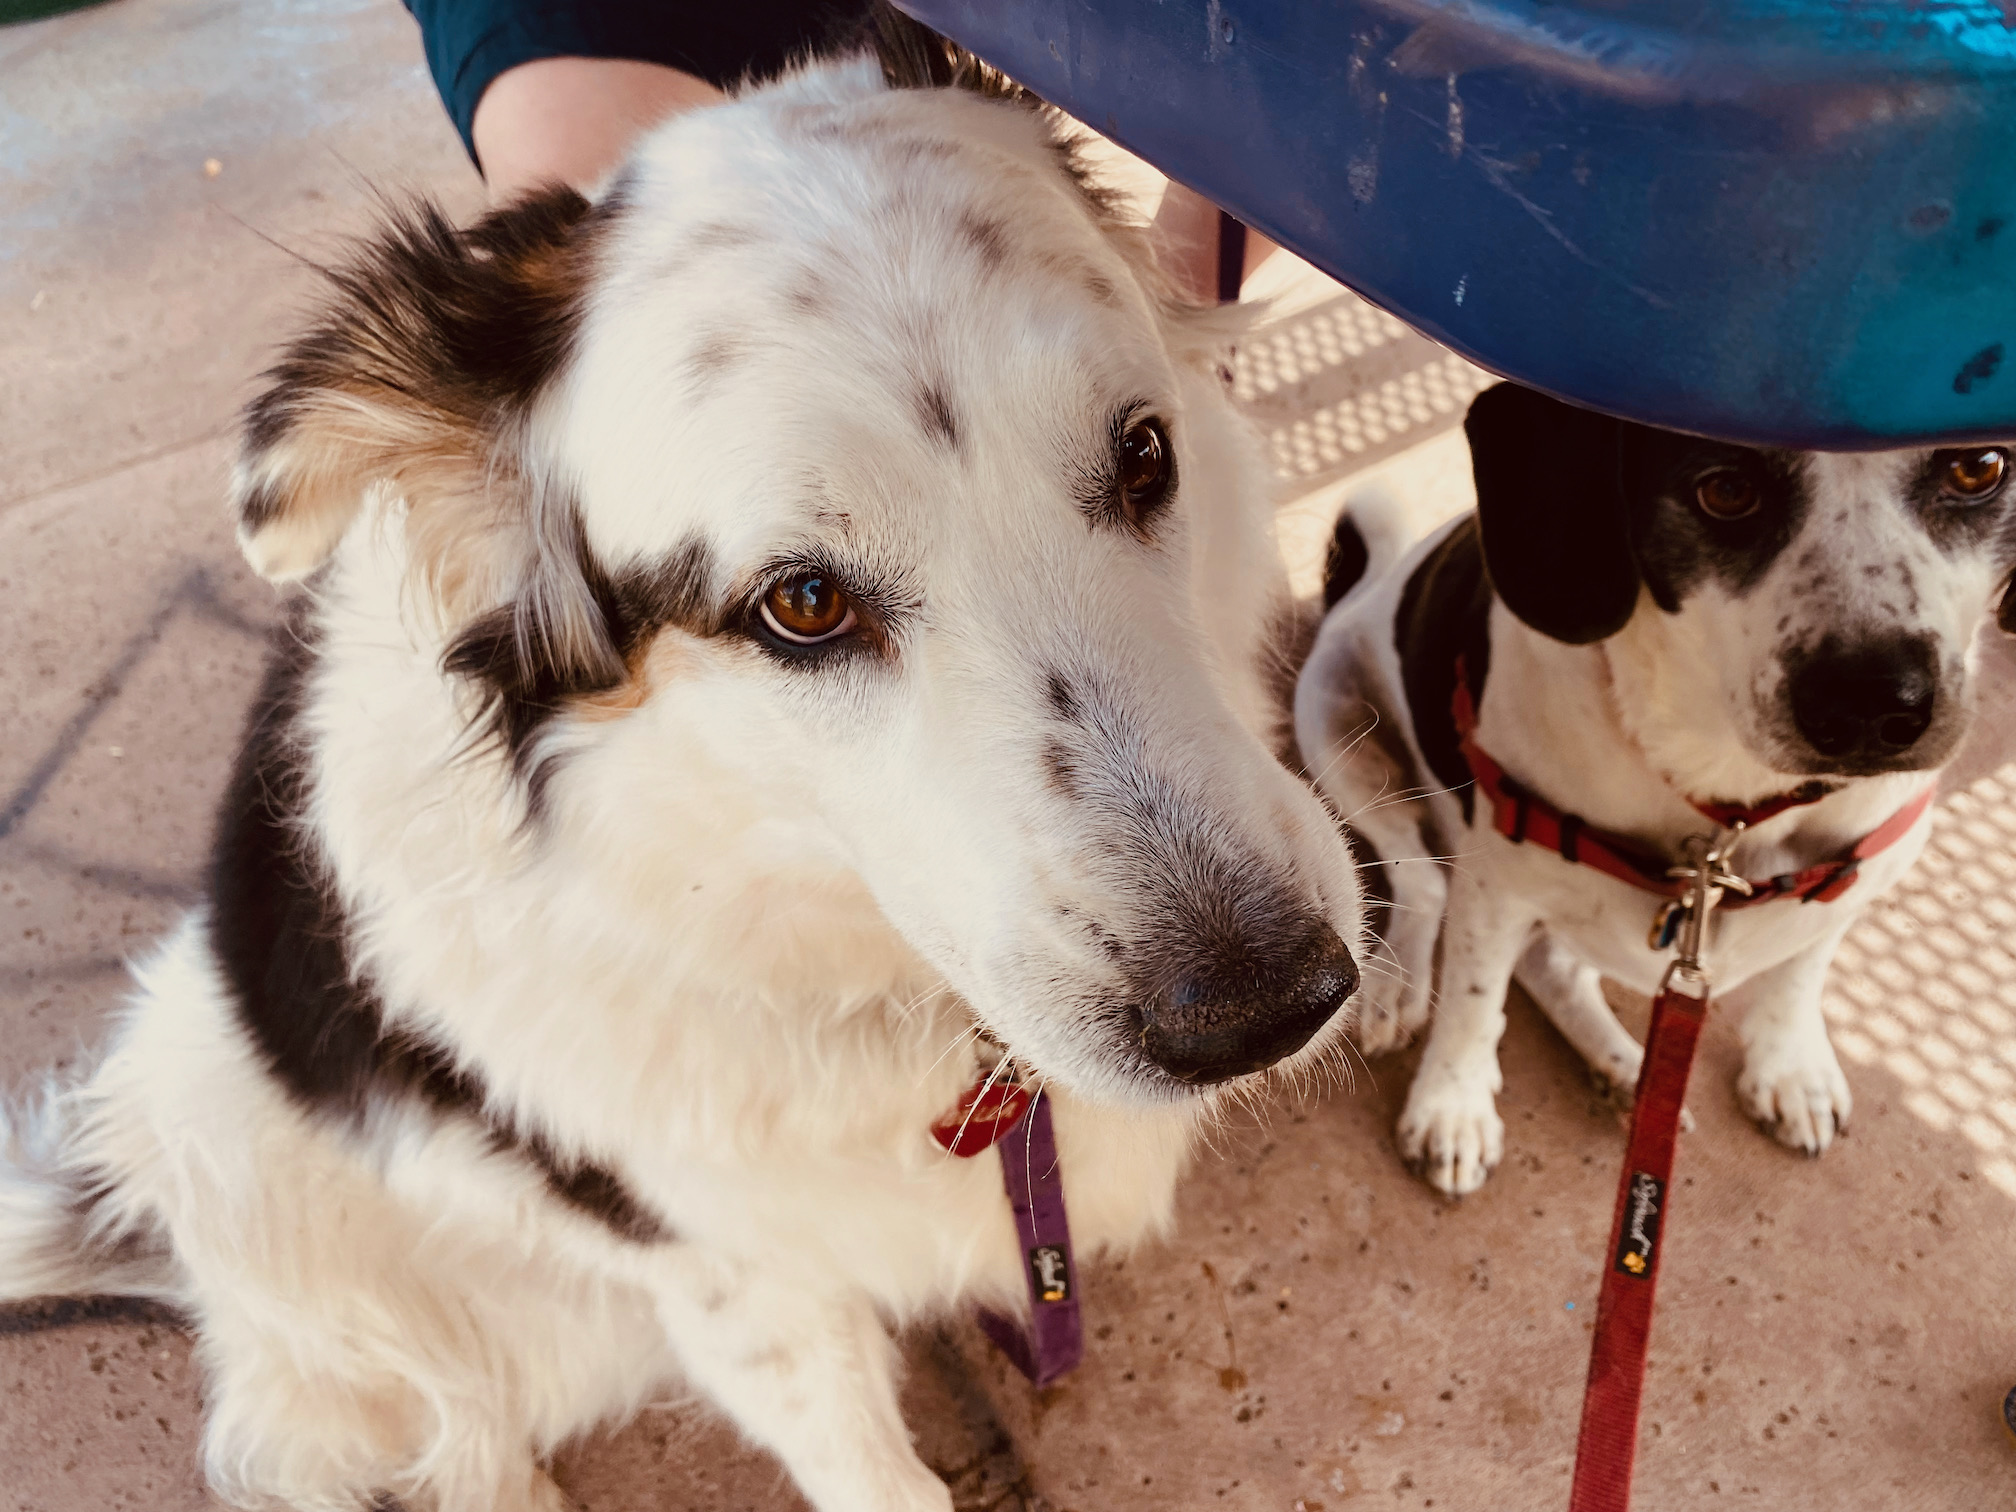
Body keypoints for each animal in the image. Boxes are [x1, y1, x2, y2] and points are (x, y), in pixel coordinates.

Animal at [1296, 380, 2014, 1197]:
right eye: (1726, 489)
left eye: (1980, 467)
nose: (1871, 706)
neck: (1733, 807)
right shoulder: (1498, 892)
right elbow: (1475, 1006)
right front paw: (1452, 1104)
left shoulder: (1854, 878)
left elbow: (1800, 974)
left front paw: (1789, 1064)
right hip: (1338, 733)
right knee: (1423, 883)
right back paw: (1398, 989)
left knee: (1551, 967)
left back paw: (1625, 1071)